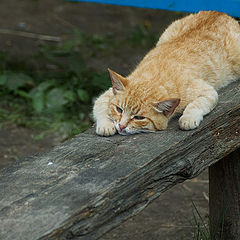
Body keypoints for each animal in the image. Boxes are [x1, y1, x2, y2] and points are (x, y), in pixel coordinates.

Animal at [93, 10, 240, 137]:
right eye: (119, 109)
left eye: (139, 117)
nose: (121, 126)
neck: (153, 78)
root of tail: (219, 13)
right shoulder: (106, 95)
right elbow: (100, 108)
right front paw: (106, 125)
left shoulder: (208, 92)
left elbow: (195, 105)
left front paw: (187, 118)